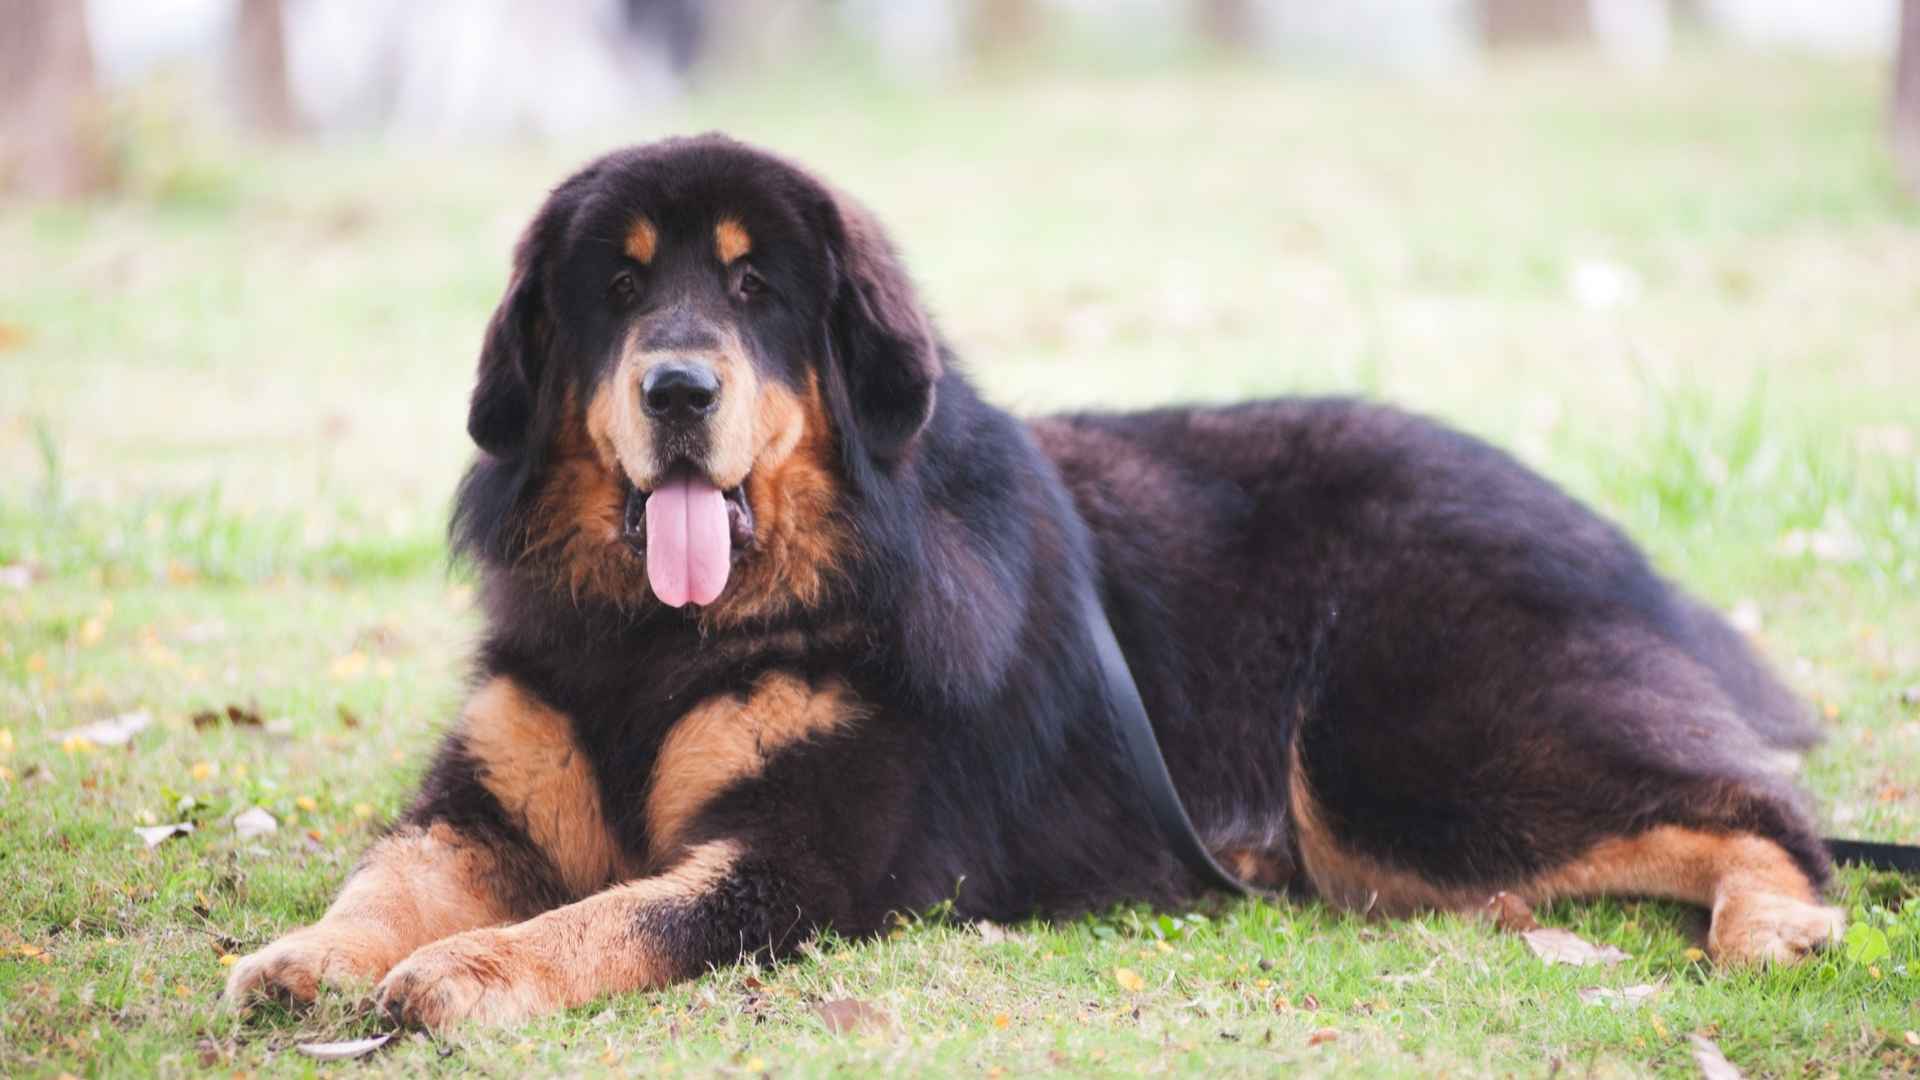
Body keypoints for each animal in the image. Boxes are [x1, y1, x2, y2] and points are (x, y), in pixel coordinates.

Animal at [220, 134, 1843, 1022]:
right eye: (615, 287)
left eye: (754, 290)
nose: (679, 386)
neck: (670, 638)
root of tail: (1592, 525)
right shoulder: (486, 804)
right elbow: (387, 876)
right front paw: (307, 955)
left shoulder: (798, 859)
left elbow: (607, 918)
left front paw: (472, 974)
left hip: (1398, 761)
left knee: (1766, 808)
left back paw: (1780, 926)